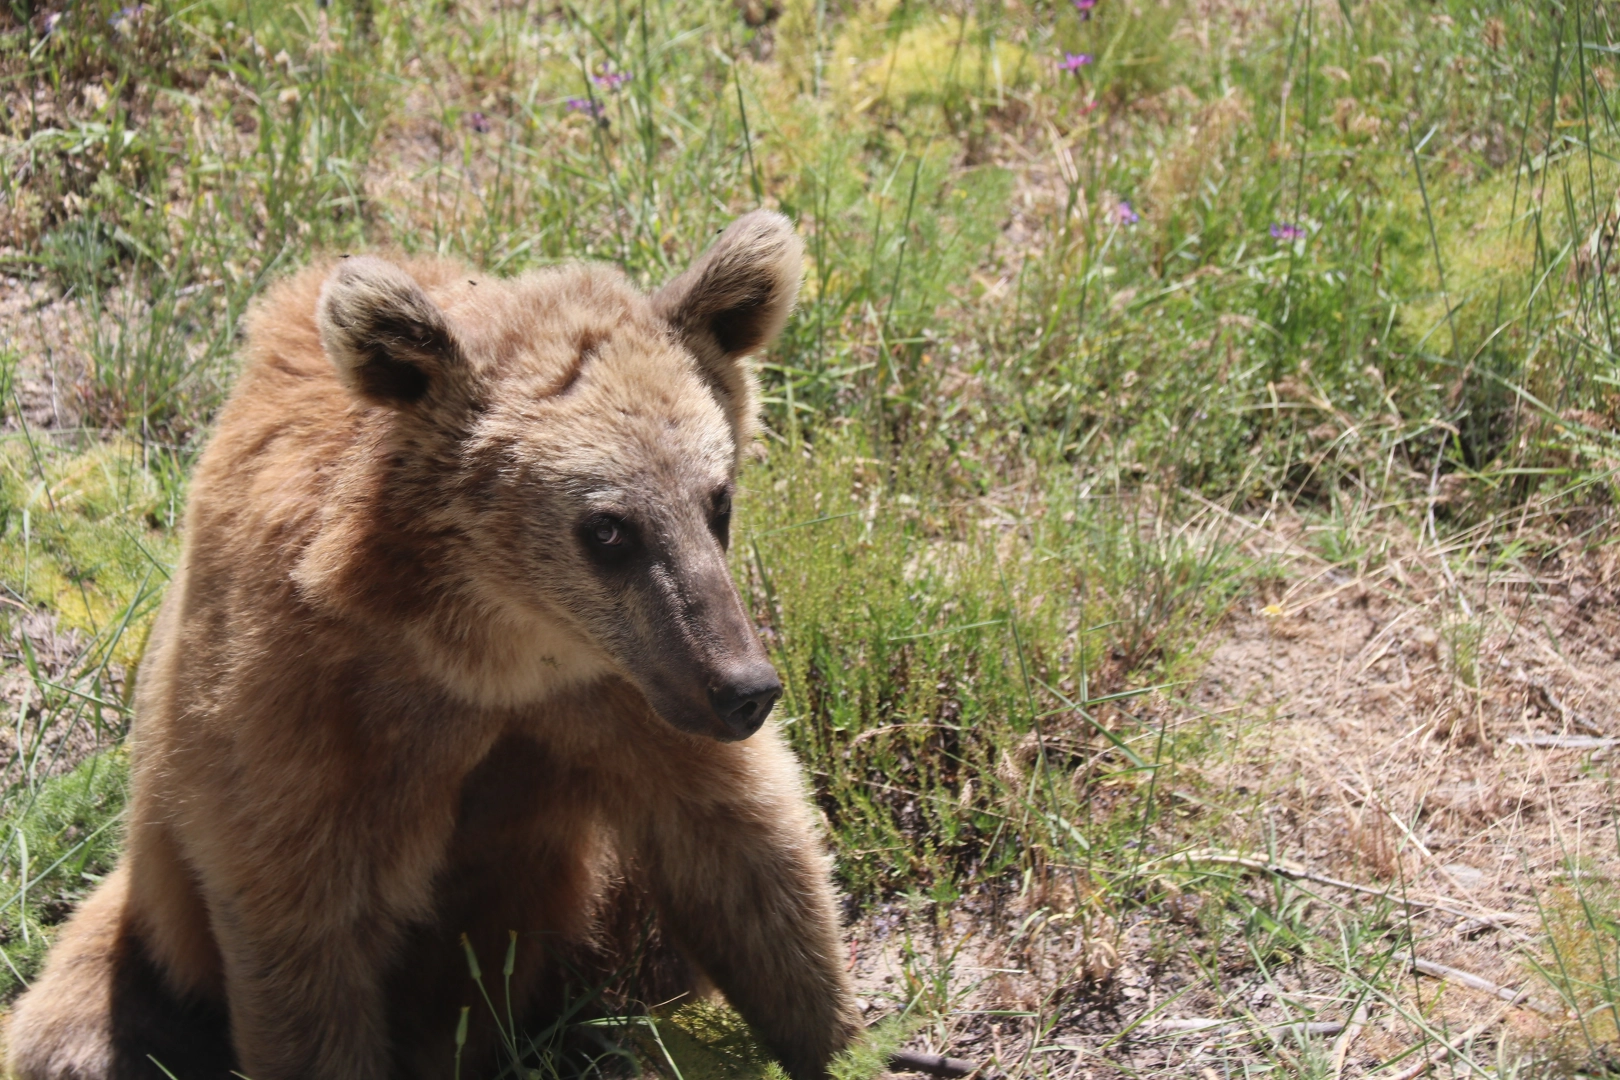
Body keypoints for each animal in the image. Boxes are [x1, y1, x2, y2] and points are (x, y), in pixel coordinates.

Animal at [6, 210, 861, 1080]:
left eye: (718, 501)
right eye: (609, 528)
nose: (746, 688)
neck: (490, 647)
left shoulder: (623, 694)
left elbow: (744, 855)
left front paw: (841, 1037)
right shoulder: (306, 720)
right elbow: (303, 940)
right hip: (149, 923)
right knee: (71, 1027)